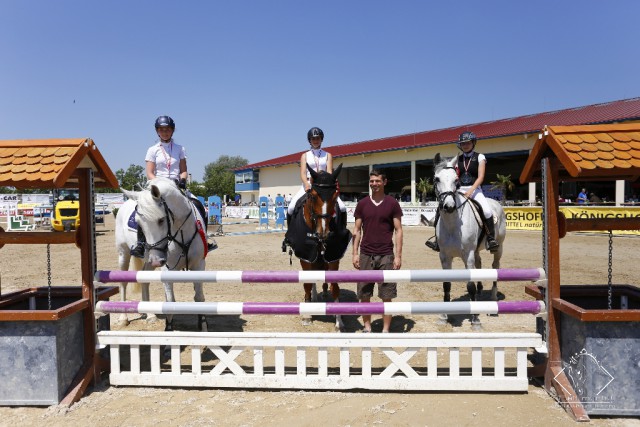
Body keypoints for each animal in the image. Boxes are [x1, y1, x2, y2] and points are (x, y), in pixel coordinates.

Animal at [121, 176, 209, 332]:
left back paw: (150, 315)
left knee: (144, 280)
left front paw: (203, 328)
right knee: (123, 282)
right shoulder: (167, 269)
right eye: (138, 223)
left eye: (161, 220)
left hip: (148, 261)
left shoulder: (199, 265)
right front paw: (168, 330)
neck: (181, 231)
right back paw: (123, 318)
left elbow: (199, 297)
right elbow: (170, 301)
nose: (157, 260)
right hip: (124, 253)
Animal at [284, 164, 350, 332]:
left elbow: (335, 287)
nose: (323, 232)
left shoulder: (333, 256)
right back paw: (313, 298)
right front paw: (307, 316)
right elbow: (307, 283)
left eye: (335, 196)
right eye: (313, 196)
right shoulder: (306, 256)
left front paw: (339, 321)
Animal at [432, 155, 508, 330]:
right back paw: (480, 291)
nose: (449, 206)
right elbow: (446, 284)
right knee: (479, 265)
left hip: (498, 248)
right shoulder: (444, 257)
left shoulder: (468, 255)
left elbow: (470, 286)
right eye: (437, 179)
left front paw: (475, 319)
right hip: (477, 250)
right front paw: (444, 316)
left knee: (495, 266)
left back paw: (493, 298)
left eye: (456, 180)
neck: (452, 223)